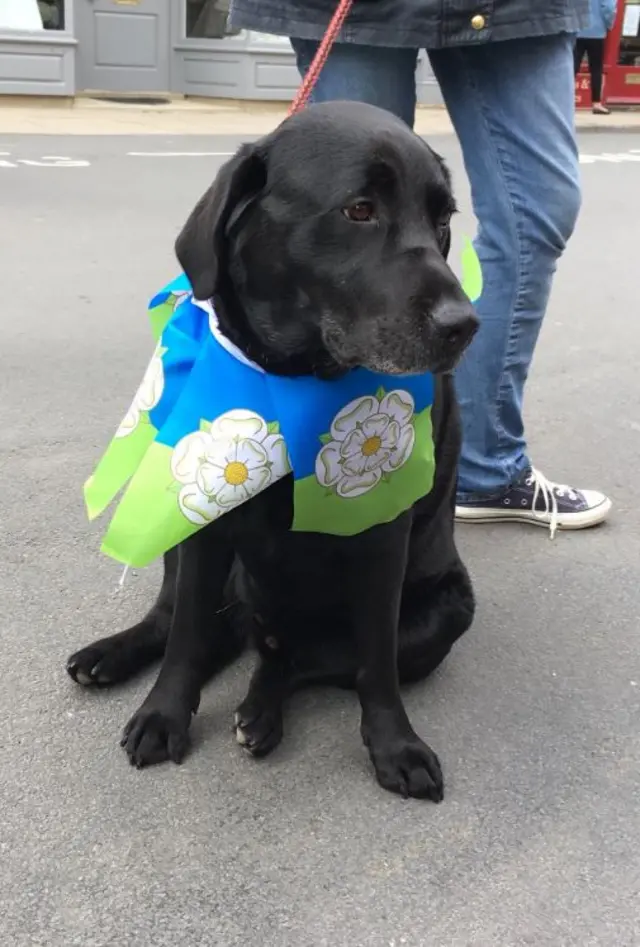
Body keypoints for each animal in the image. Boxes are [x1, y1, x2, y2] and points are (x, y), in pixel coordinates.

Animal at [70, 102, 480, 800]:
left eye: (443, 220)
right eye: (359, 209)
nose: (465, 325)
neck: (295, 381)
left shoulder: (382, 535)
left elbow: (375, 662)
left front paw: (395, 745)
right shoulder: (203, 524)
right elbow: (183, 638)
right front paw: (163, 714)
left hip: (445, 614)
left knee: (295, 659)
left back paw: (260, 712)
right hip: (181, 545)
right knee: (186, 627)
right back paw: (112, 654)